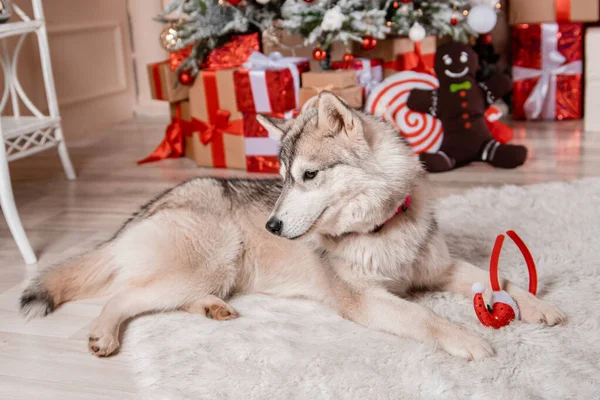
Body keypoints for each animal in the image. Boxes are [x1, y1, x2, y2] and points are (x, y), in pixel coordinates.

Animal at [17, 91, 564, 360]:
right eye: (280, 178)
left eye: (309, 175)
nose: (272, 225)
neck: (383, 227)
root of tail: (138, 215)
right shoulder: (364, 299)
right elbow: (425, 317)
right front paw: (466, 340)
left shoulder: (441, 269)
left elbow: (499, 277)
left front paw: (536, 306)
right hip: (214, 256)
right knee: (122, 297)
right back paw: (103, 334)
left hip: (216, 272)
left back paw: (213, 308)